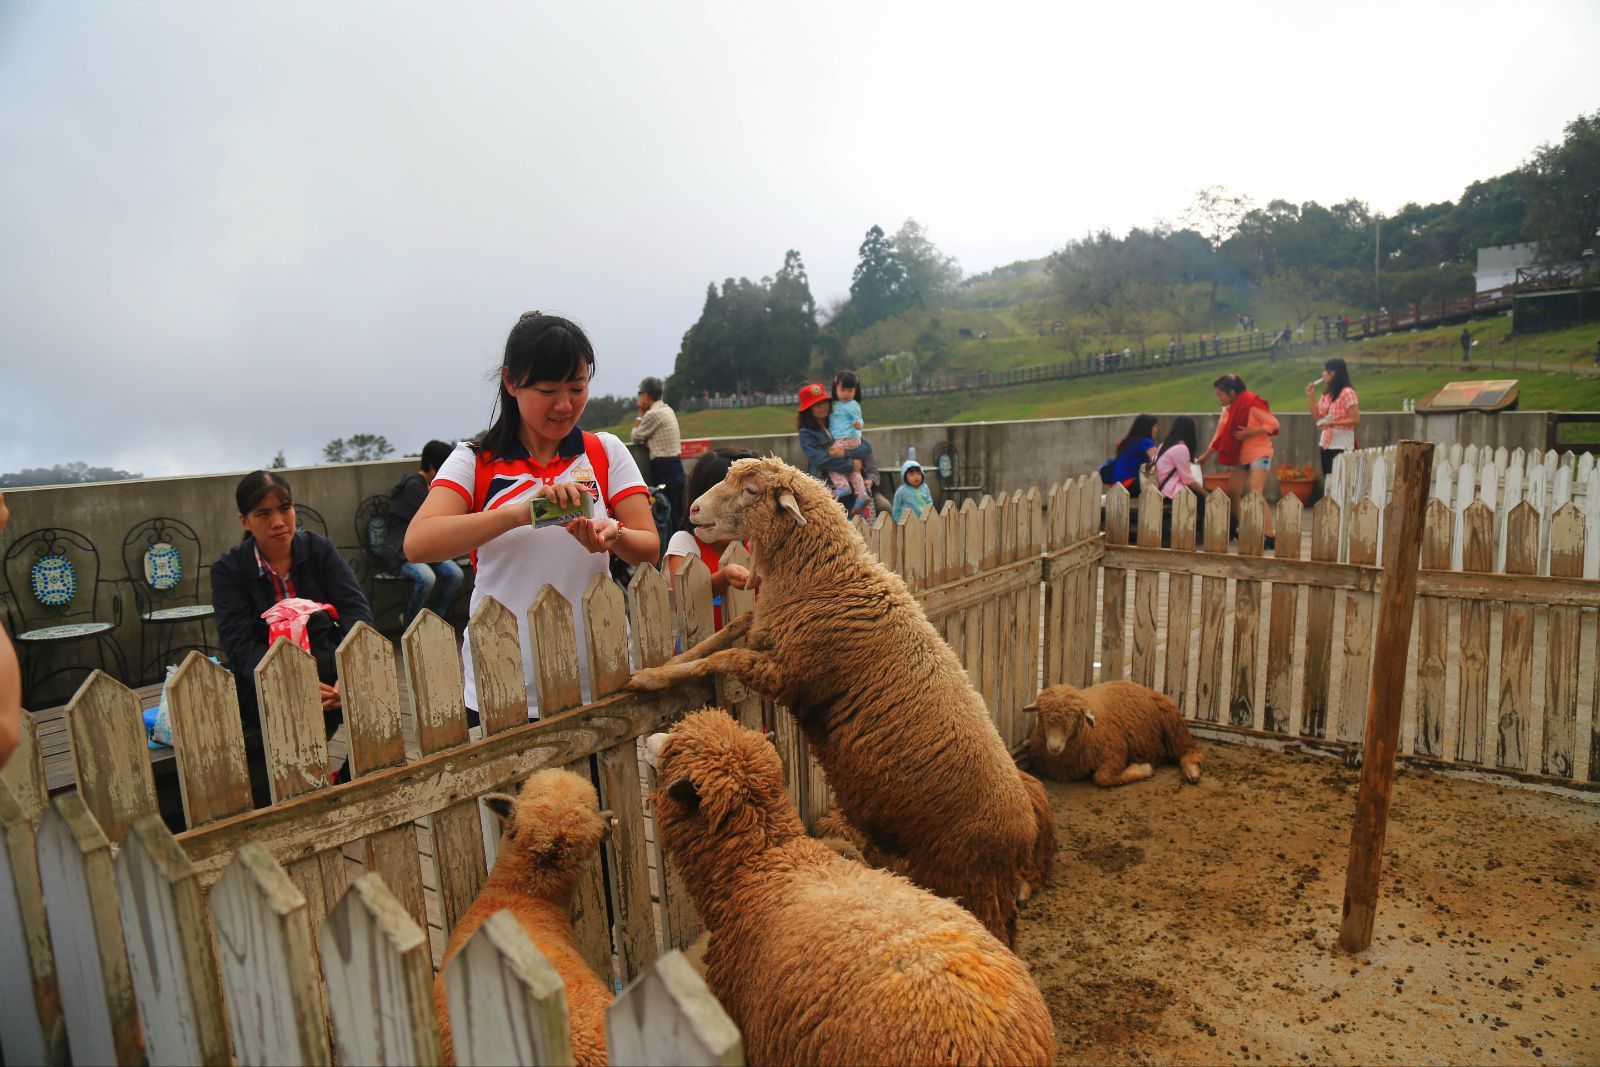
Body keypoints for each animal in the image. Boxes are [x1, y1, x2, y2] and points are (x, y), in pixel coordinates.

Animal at [630, 454, 1056, 947]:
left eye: (752, 490)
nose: (694, 510)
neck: (826, 576)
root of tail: (1023, 833)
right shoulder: (766, 627)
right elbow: (721, 637)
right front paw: (657, 670)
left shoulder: (788, 673)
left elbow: (721, 658)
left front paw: (650, 680)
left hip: (966, 873)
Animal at [1024, 681, 1203, 790]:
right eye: (1041, 715)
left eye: (1076, 718)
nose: (1054, 747)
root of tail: (1143, 687)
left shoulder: (1114, 752)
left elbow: (1103, 778)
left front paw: (1143, 768)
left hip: (1174, 727)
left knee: (1190, 749)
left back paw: (1192, 770)